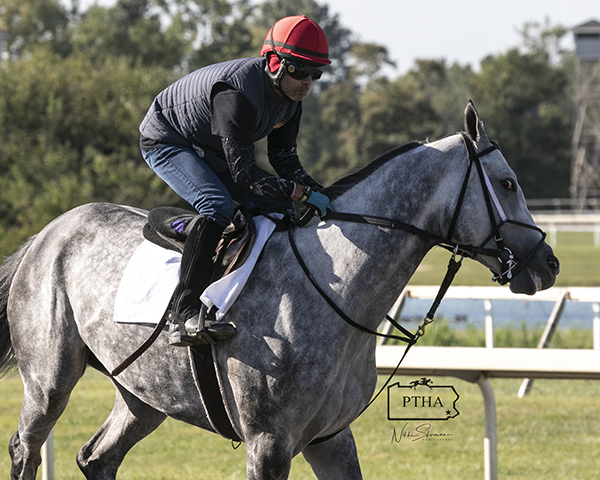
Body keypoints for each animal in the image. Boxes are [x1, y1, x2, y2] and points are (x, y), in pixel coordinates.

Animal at [2, 103, 560, 478]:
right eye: (508, 183)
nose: (548, 264)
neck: (338, 294)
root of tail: (45, 235)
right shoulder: (268, 444)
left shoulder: (331, 438)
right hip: (50, 382)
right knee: (26, 448)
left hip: (143, 395)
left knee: (96, 458)